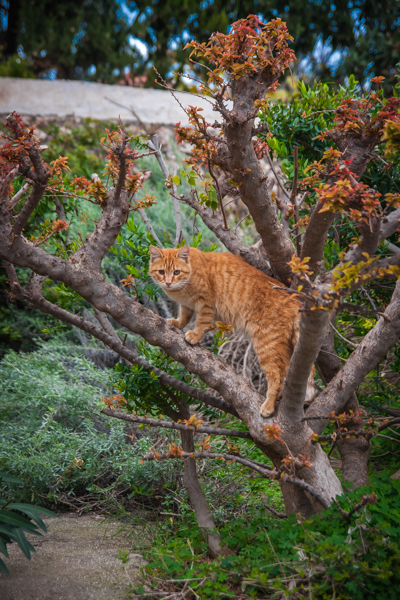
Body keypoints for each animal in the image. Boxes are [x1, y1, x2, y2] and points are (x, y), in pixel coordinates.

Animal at [148, 245, 314, 418]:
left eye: (176, 272)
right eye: (161, 272)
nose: (168, 282)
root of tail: (296, 301)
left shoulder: (206, 303)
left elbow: (201, 322)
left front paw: (194, 335)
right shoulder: (187, 305)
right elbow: (184, 316)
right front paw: (177, 322)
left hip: (267, 346)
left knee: (277, 375)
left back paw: (269, 405)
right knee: (287, 373)